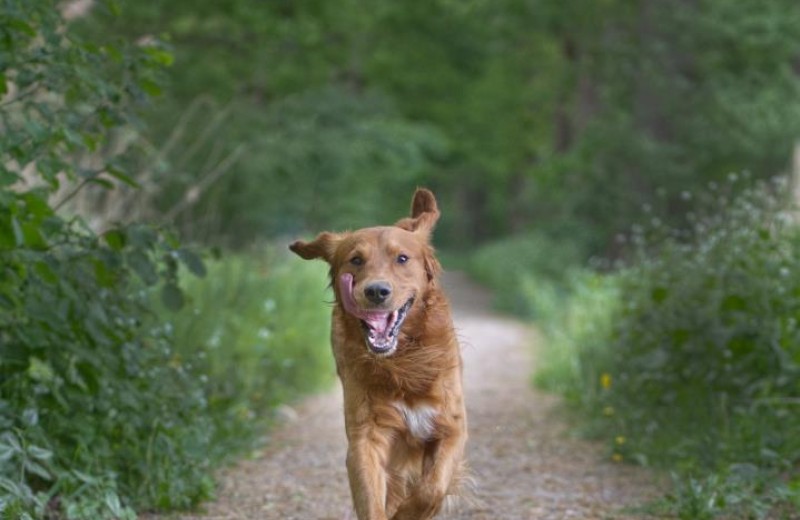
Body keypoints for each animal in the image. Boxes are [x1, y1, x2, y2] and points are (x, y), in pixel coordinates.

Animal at [290, 189, 468, 520]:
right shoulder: (366, 436)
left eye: (402, 258)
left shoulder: (451, 427)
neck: (402, 362)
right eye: (356, 260)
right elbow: (372, 500)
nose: (375, 291)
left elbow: (431, 489)